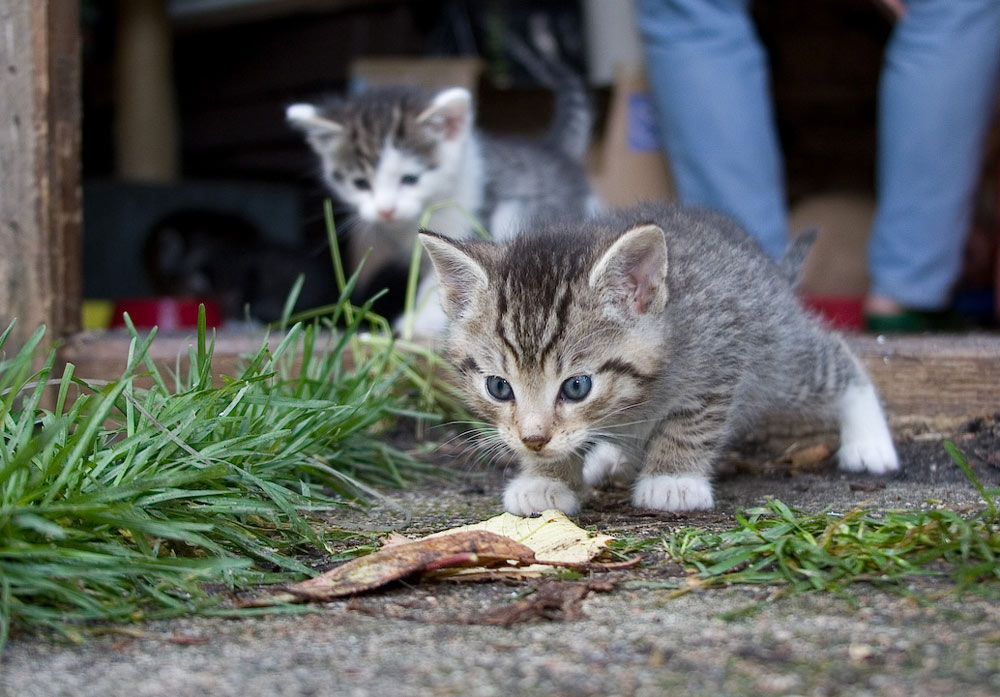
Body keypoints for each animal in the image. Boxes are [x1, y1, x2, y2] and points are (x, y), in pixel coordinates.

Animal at [284, 70, 592, 334]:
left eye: (410, 179)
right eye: (360, 183)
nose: (386, 210)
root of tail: (552, 151)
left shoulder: (470, 220)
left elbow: (443, 278)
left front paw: (420, 323)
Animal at [418, 204, 904, 512]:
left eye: (577, 387)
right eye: (499, 387)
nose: (534, 440)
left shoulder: (720, 353)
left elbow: (690, 423)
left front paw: (672, 480)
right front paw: (545, 479)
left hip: (778, 355)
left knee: (836, 358)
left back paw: (869, 443)